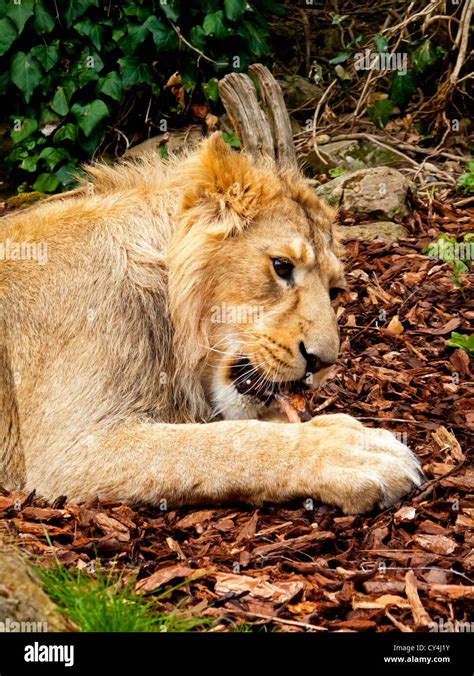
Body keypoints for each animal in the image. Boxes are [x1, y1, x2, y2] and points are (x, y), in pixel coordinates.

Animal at [0, 131, 422, 512]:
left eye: (334, 291)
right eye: (282, 266)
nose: (323, 363)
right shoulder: (73, 450)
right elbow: (225, 442)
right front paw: (349, 449)